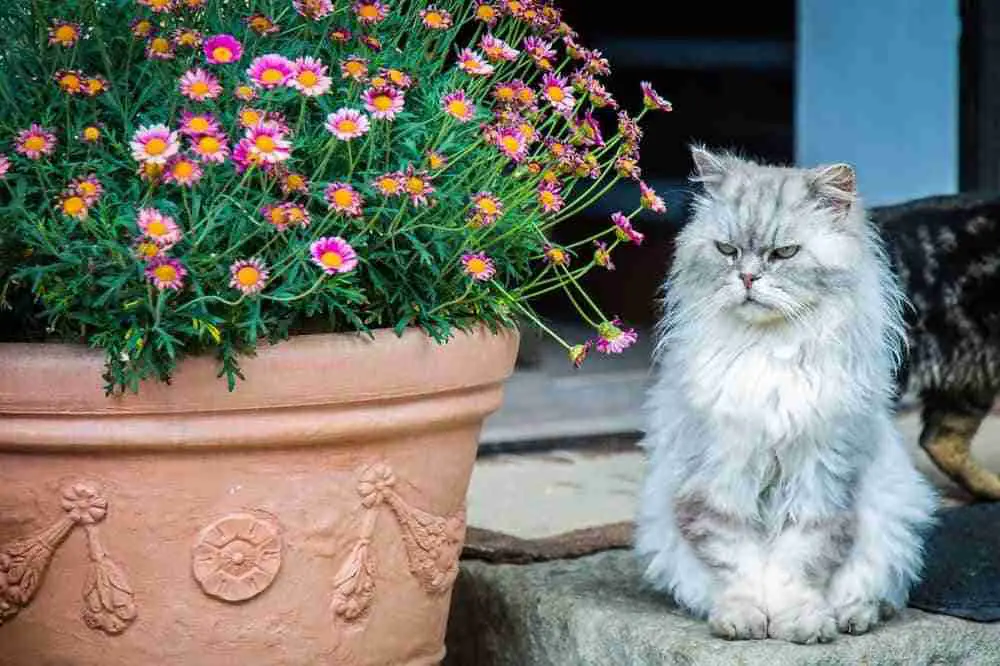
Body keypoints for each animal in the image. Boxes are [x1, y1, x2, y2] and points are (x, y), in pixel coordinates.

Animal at [640, 147, 936, 644]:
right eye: (727, 250)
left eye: (784, 253)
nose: (747, 278)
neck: (769, 352)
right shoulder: (719, 479)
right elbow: (737, 564)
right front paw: (744, 620)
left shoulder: (820, 478)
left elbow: (798, 563)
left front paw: (799, 622)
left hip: (893, 518)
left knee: (873, 591)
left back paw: (853, 617)